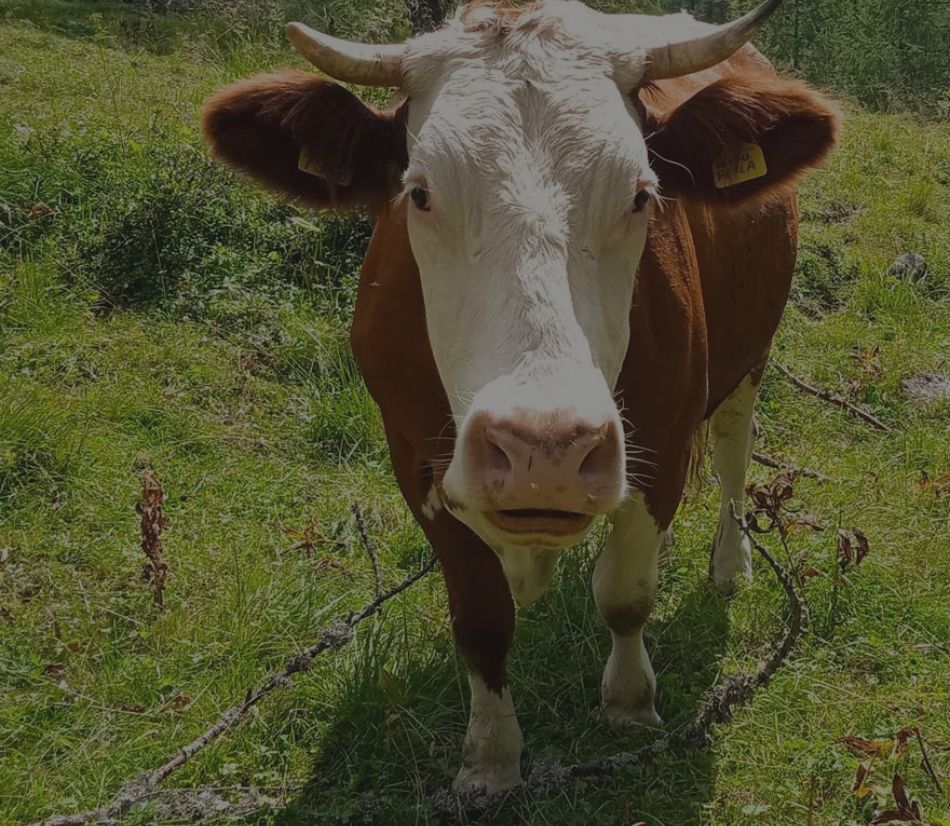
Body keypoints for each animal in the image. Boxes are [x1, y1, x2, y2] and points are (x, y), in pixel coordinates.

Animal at [202, 0, 839, 794]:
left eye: (641, 195)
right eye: (418, 193)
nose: (546, 450)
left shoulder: (661, 442)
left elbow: (625, 594)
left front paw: (629, 701)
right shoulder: (414, 456)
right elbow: (481, 620)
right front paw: (490, 756)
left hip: (748, 360)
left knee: (732, 454)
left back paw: (732, 564)